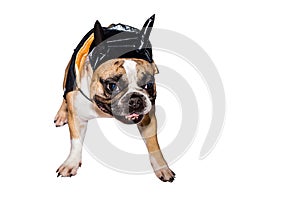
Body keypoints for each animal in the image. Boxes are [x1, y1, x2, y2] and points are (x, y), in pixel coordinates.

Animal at [54, 14, 176, 182]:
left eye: (148, 84)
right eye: (112, 86)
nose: (135, 99)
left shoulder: (148, 117)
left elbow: (153, 144)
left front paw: (161, 167)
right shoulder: (77, 117)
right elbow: (76, 142)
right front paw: (71, 163)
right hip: (68, 76)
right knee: (64, 95)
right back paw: (61, 114)